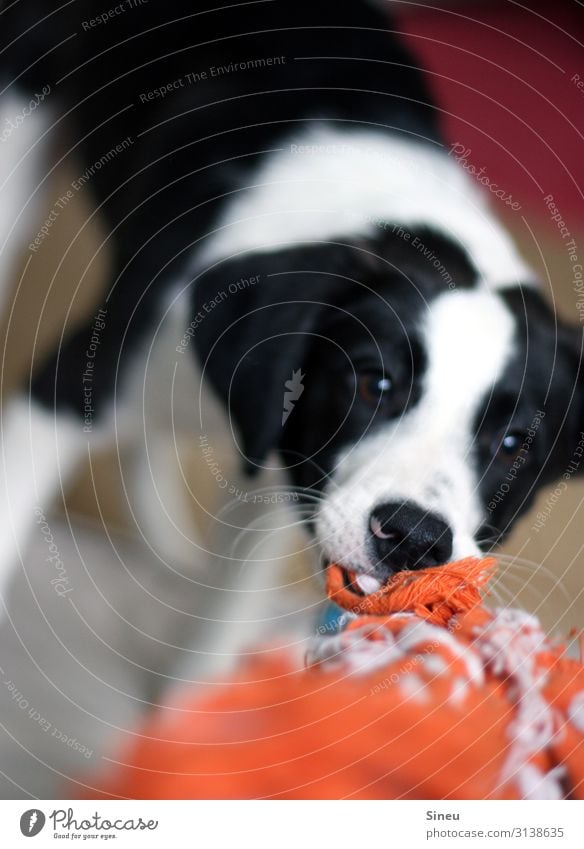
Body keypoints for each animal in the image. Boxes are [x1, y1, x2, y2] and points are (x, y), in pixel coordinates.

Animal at [0, 1, 580, 636]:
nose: (413, 539)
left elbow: (214, 635)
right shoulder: (66, 394)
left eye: (514, 443)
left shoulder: (277, 493)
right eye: (372, 383)